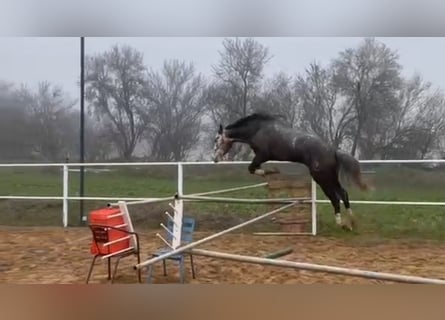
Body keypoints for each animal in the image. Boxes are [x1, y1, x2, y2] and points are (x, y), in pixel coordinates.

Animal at [211, 112, 368, 230]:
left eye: (216, 139)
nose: (214, 158)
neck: (258, 130)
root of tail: (333, 151)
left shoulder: (262, 155)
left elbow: (251, 168)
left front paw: (270, 172)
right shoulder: (261, 157)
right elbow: (254, 168)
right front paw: (271, 171)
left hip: (322, 178)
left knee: (335, 198)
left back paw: (341, 223)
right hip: (331, 177)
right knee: (343, 194)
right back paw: (351, 222)